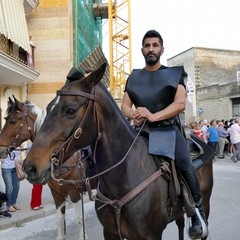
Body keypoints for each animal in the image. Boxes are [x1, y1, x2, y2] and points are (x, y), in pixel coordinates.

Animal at [0, 97, 96, 240]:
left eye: (12, 121)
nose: (0, 149)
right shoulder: (57, 194)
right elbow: (60, 219)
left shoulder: (75, 194)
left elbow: (80, 219)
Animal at [22, 63, 213, 240]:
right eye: (48, 108)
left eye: (70, 110)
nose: (29, 167)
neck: (123, 178)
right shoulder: (110, 232)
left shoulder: (150, 235)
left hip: (205, 201)